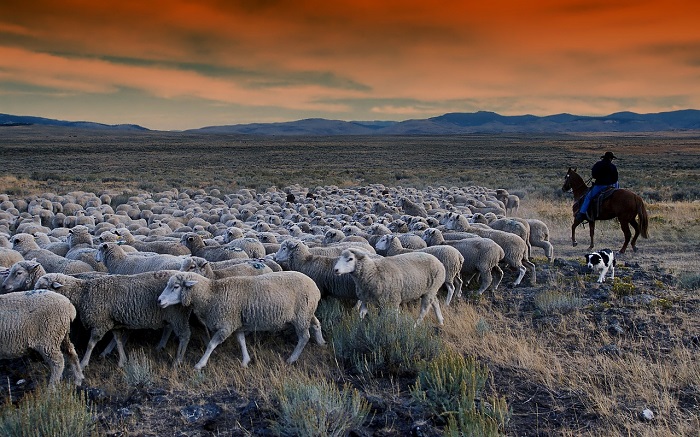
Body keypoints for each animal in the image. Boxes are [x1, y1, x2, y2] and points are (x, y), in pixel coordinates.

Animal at [34, 270, 190, 368]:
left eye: (43, 286)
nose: (32, 295)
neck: (83, 293)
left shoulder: (100, 323)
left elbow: (91, 344)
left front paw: (84, 362)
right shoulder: (112, 322)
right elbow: (118, 340)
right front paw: (122, 361)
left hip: (177, 315)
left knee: (184, 336)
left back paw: (177, 360)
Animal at [157, 272, 324, 368]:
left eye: (176, 286)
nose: (159, 300)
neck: (211, 294)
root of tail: (315, 286)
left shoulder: (226, 324)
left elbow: (211, 344)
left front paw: (200, 364)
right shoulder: (237, 323)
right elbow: (241, 341)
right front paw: (245, 361)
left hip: (301, 316)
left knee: (304, 337)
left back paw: (292, 359)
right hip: (307, 313)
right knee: (316, 324)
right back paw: (321, 342)